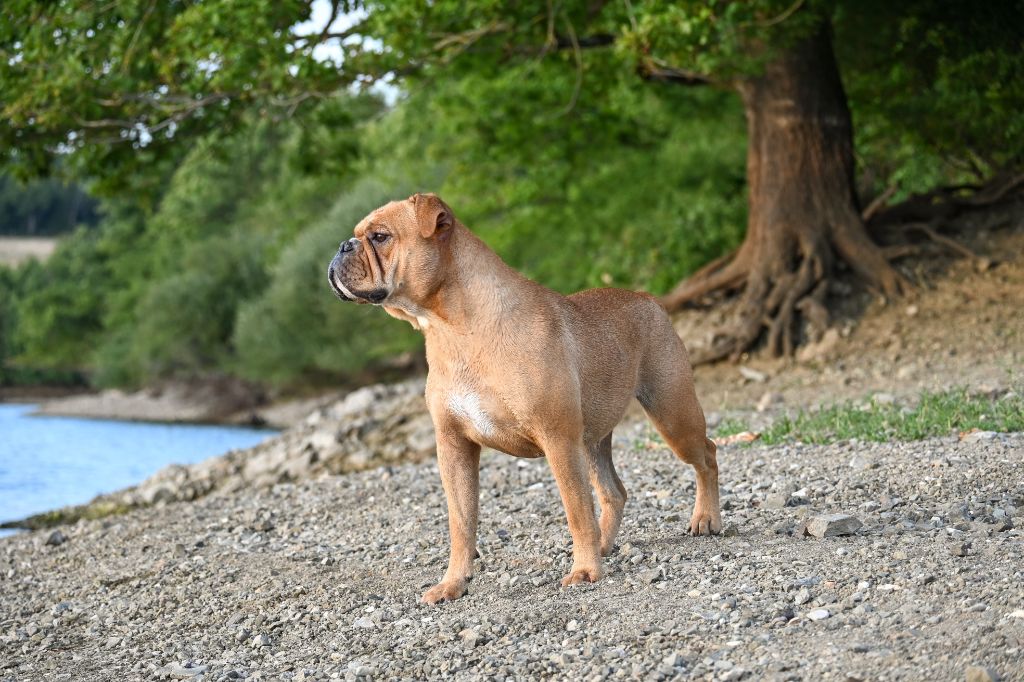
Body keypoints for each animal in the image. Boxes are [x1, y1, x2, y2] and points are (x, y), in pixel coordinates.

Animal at [328, 193, 721, 604]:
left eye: (380, 236)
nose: (342, 246)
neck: (453, 329)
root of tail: (648, 299)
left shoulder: (557, 440)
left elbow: (576, 510)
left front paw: (585, 571)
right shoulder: (454, 446)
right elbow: (461, 523)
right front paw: (453, 583)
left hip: (671, 414)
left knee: (706, 455)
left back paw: (705, 519)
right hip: (592, 440)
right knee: (613, 492)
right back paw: (605, 544)